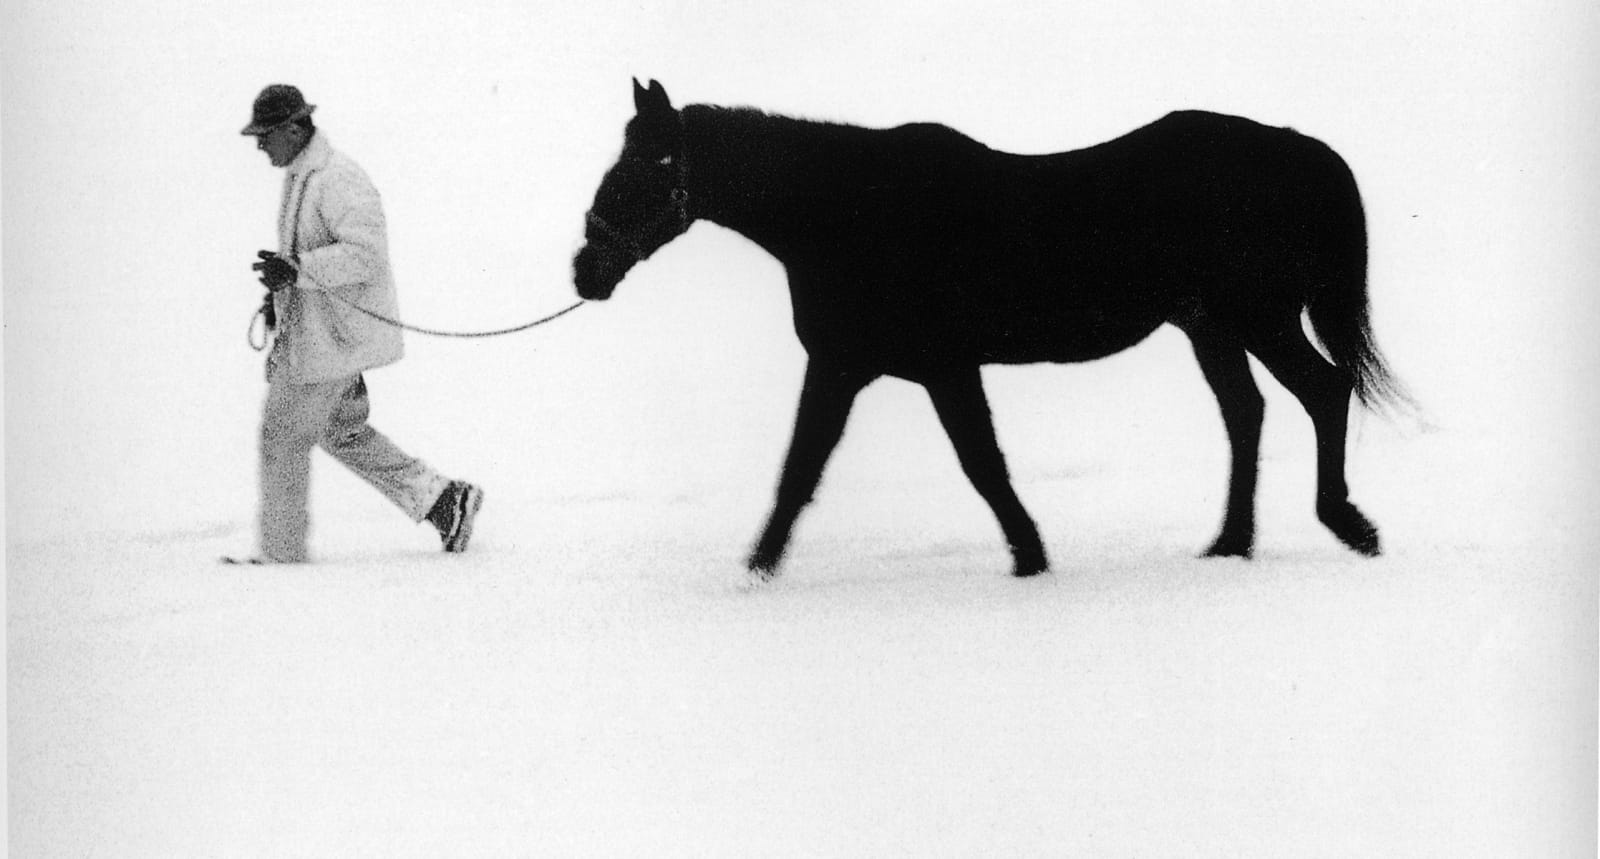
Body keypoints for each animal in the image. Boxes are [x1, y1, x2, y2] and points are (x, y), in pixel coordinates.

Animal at [574, 79, 1407, 579]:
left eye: (650, 163)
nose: (586, 270)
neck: (853, 214)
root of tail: (1299, 151)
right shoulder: (846, 366)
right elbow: (802, 469)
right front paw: (757, 568)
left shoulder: (935, 366)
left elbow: (980, 464)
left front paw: (1030, 555)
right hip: (1212, 327)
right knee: (1249, 413)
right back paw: (1231, 543)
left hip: (1257, 318)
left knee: (1323, 392)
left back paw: (1348, 525)